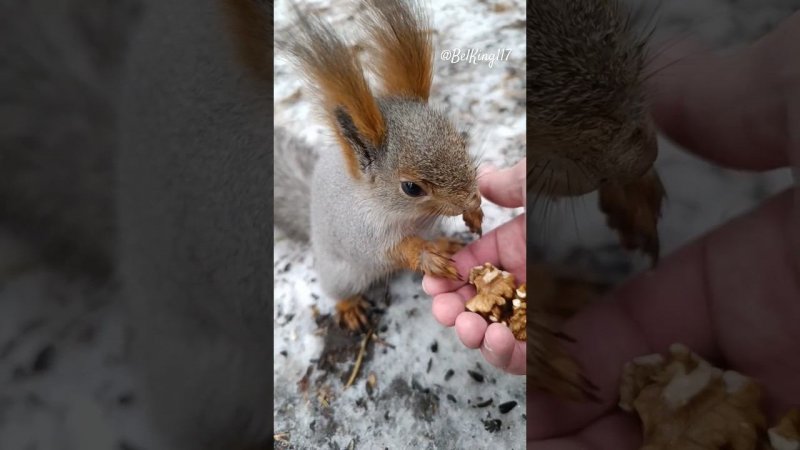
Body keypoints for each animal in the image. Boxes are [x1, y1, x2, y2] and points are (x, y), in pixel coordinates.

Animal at [276, 0, 484, 330]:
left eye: (462, 141)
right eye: (411, 188)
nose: (472, 199)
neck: (408, 216)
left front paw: (474, 213)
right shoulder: (362, 231)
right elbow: (389, 251)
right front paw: (424, 256)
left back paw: (445, 243)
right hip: (342, 275)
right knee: (341, 291)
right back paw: (350, 307)